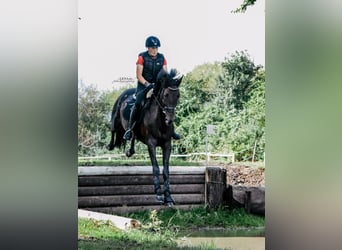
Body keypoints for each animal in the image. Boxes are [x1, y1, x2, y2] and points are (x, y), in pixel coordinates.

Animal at [107, 68, 183, 207]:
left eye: (178, 96)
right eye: (166, 95)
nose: (169, 120)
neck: (160, 121)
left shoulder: (167, 144)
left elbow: (166, 170)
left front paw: (169, 198)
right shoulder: (151, 144)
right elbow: (156, 168)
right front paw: (158, 194)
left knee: (132, 135)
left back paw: (130, 151)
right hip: (115, 118)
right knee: (113, 130)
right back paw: (110, 145)